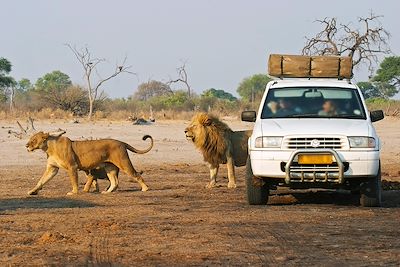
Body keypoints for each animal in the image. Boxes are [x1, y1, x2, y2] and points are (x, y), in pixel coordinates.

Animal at [25, 132, 153, 197]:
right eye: (30, 138)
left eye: (33, 140)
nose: (26, 145)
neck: (49, 148)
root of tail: (121, 142)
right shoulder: (52, 168)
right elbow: (41, 180)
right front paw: (32, 191)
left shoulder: (72, 166)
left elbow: (74, 181)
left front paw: (74, 192)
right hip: (110, 168)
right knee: (115, 182)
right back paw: (107, 192)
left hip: (123, 162)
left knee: (136, 175)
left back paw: (145, 188)